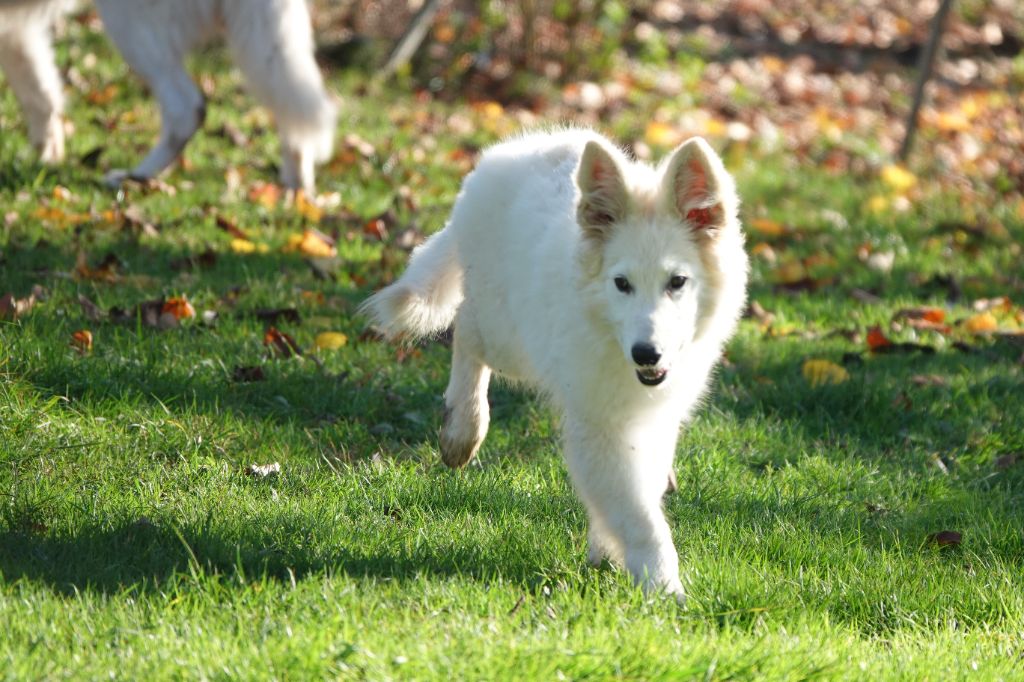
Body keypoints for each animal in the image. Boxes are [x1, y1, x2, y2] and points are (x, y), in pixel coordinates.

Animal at [0, 0, 335, 191]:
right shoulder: (16, 31)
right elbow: (41, 96)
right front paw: (48, 156)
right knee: (293, 107)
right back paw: (297, 188)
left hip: (130, 25)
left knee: (187, 107)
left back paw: (135, 177)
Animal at [364, 130, 749, 598]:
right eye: (622, 284)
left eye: (677, 282)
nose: (646, 354)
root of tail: (502, 155)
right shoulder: (597, 424)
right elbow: (641, 516)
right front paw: (663, 586)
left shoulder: (656, 419)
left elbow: (636, 493)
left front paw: (609, 551)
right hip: (507, 336)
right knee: (466, 331)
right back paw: (462, 427)